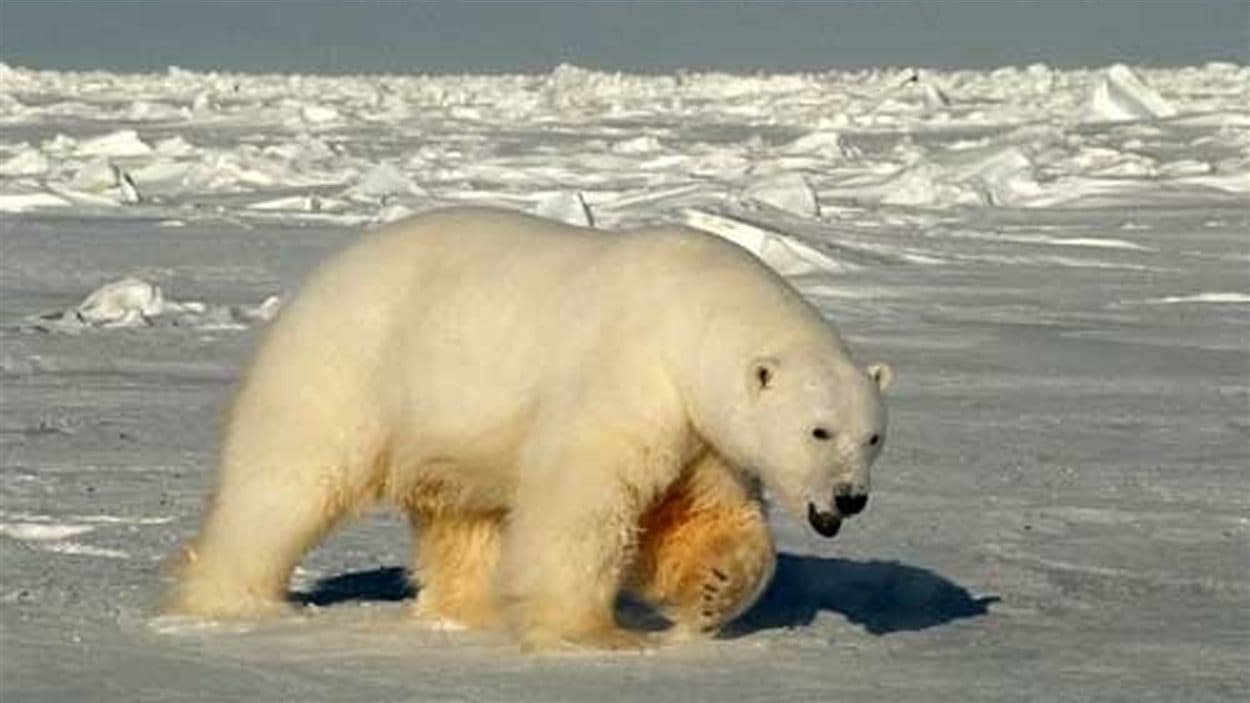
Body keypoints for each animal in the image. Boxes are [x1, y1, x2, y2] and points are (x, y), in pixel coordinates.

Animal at [166, 205, 895, 650]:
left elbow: (699, 514)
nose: (849, 498)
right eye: (819, 431)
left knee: (464, 517)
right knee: (286, 483)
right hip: (348, 367)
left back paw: (471, 611)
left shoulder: (702, 430)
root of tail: (317, 281)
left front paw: (713, 593)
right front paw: (593, 634)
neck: (693, 315)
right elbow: (583, 499)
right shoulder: (626, 373)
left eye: (873, 437)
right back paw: (235, 602)